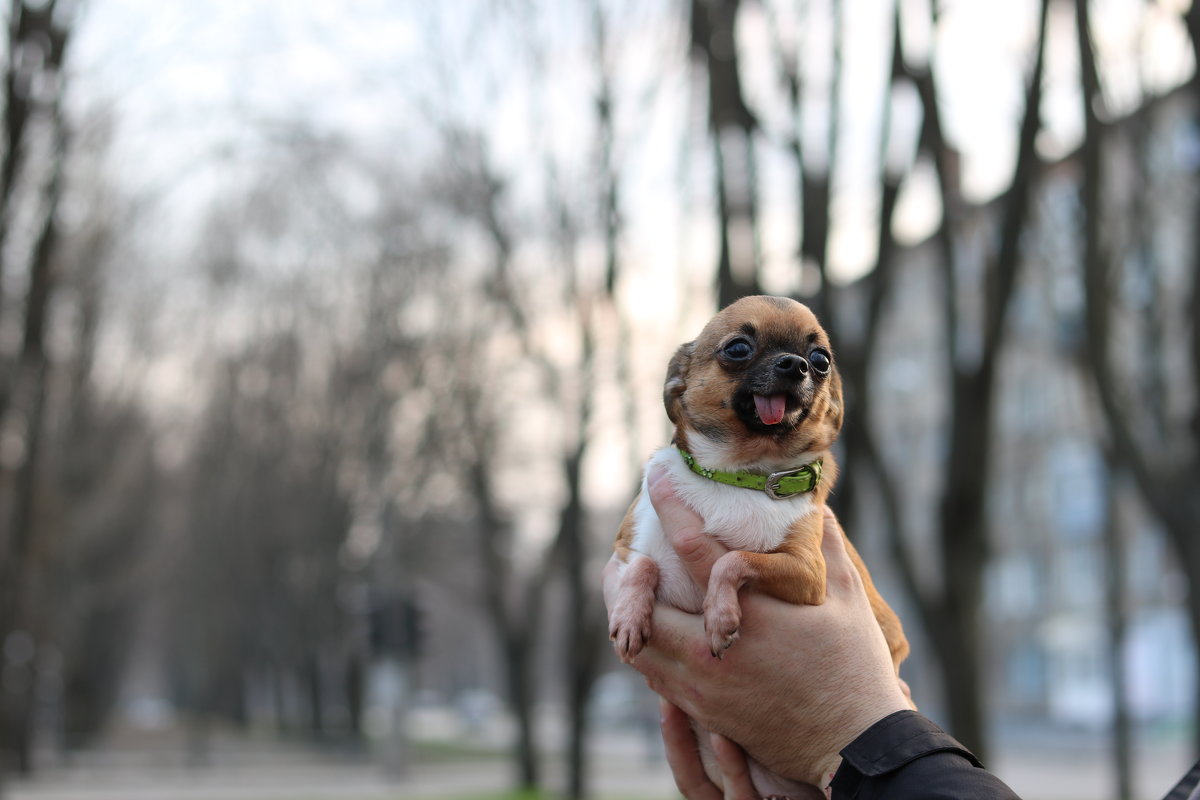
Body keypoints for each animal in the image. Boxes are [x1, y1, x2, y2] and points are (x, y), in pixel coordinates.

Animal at [609, 296, 907, 800]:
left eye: (822, 360)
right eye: (737, 348)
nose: (796, 364)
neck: (740, 475)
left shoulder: (808, 575)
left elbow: (734, 559)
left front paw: (720, 615)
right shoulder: (628, 544)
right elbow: (642, 566)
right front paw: (629, 616)